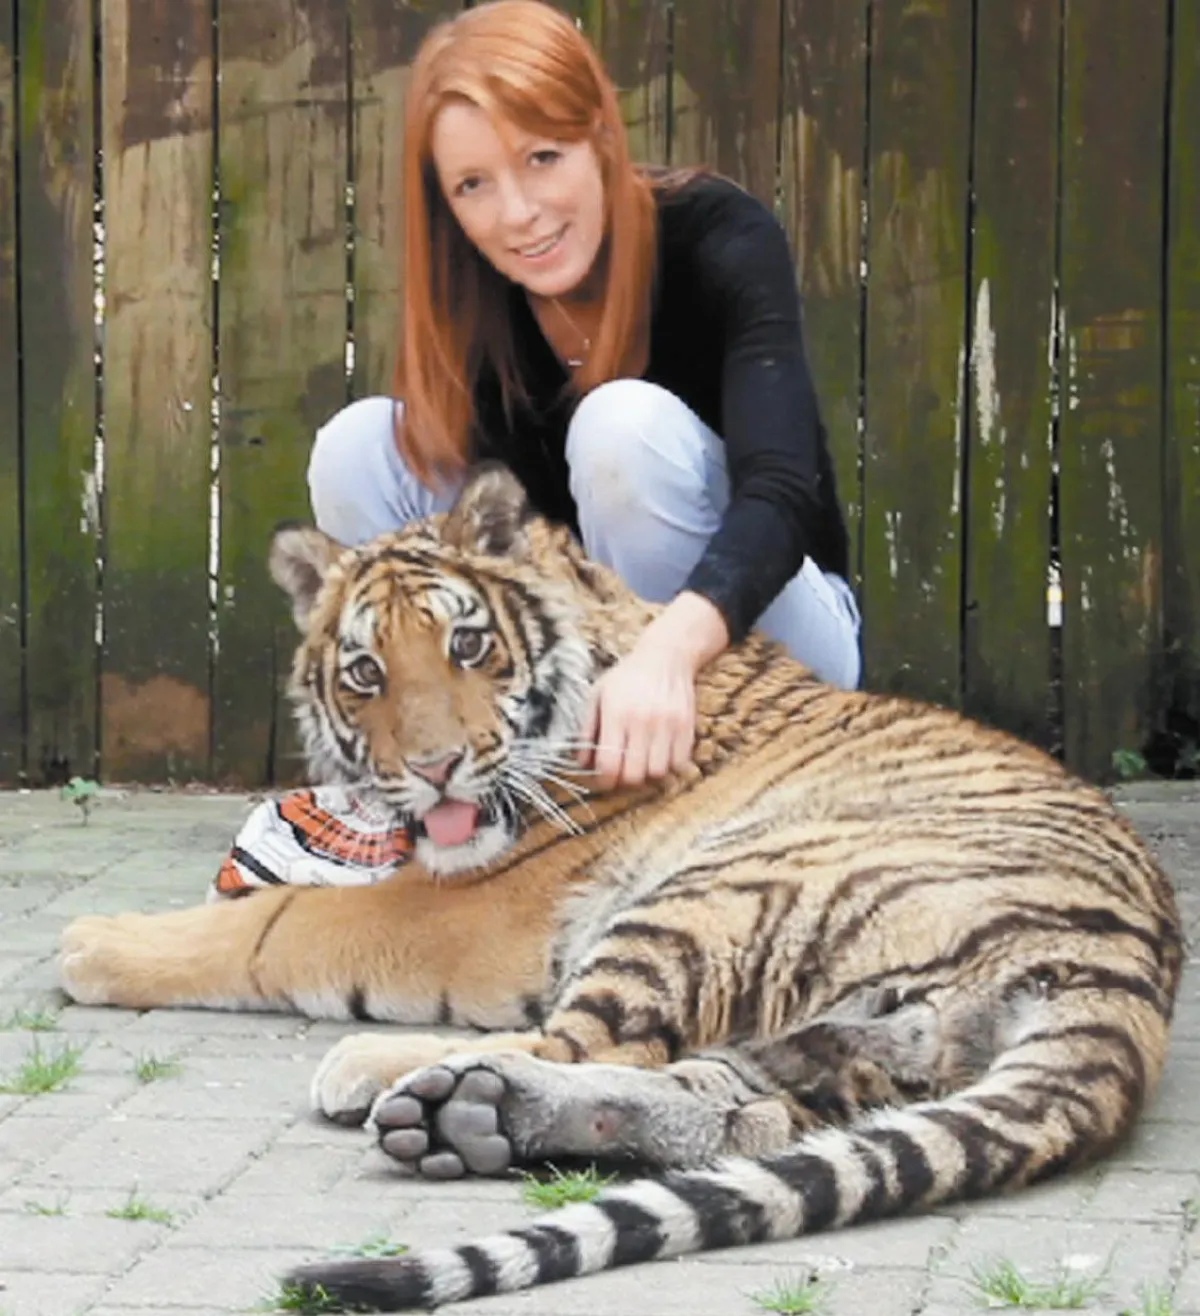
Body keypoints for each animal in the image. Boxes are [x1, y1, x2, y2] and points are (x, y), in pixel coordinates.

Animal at [59, 465, 1182, 1314]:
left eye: (469, 643)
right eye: (365, 671)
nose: (435, 769)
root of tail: (1119, 970)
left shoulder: (474, 908)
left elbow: (285, 919)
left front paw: (90, 942)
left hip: (717, 888)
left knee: (590, 1040)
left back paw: (396, 1073)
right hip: (851, 1033)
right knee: (735, 1109)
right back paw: (481, 1115)